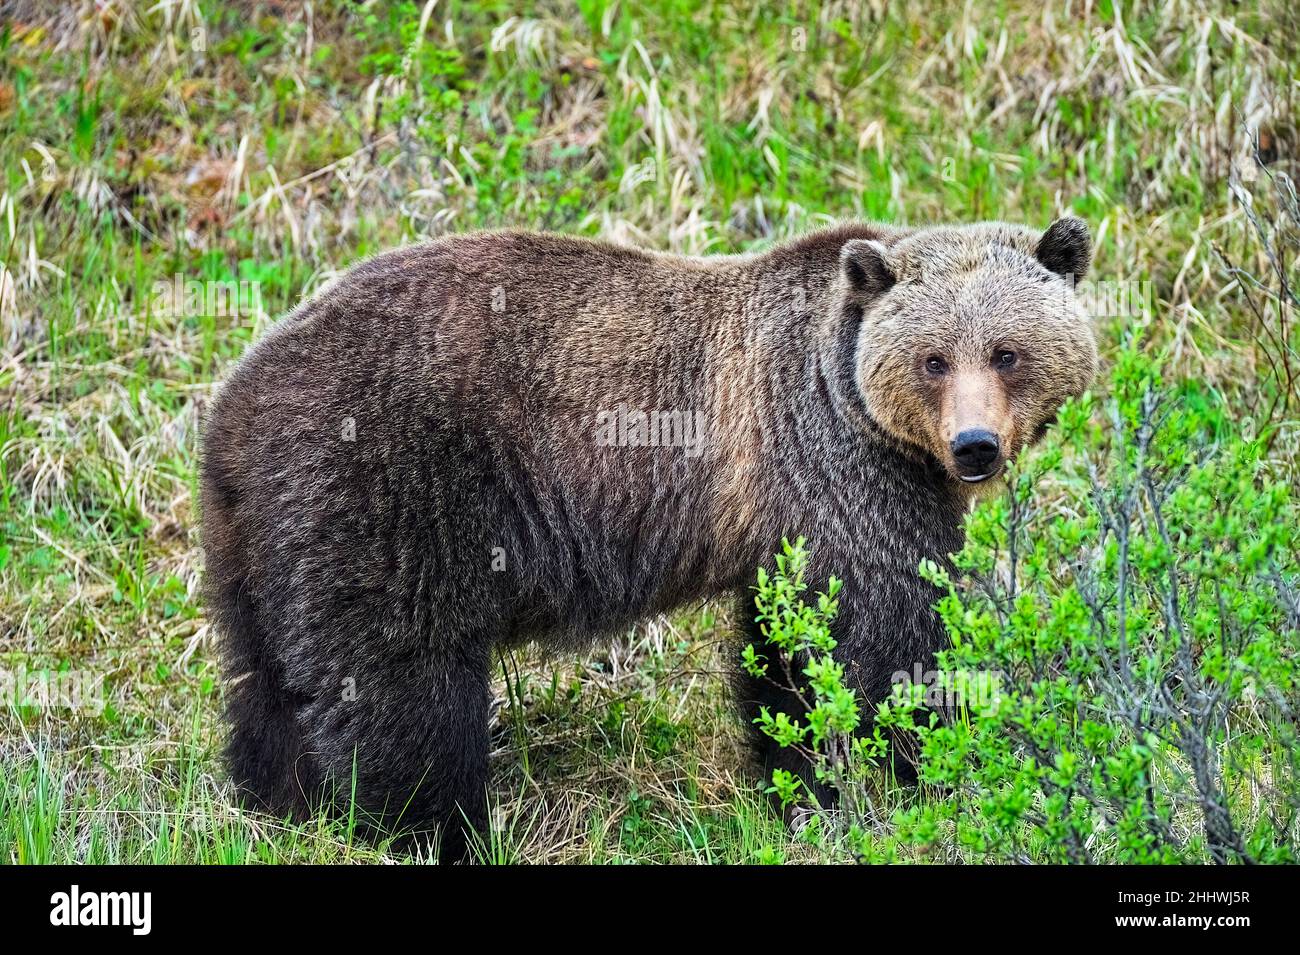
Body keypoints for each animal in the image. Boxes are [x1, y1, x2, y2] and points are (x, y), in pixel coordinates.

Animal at [202, 216, 1097, 857]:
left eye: (1008, 352)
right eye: (934, 358)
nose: (974, 446)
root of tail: (235, 405)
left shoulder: (786, 518)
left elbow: (786, 659)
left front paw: (803, 787)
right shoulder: (840, 466)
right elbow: (888, 637)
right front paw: (926, 772)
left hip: (261, 541)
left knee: (266, 680)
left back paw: (278, 803)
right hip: (391, 493)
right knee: (402, 683)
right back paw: (430, 829)